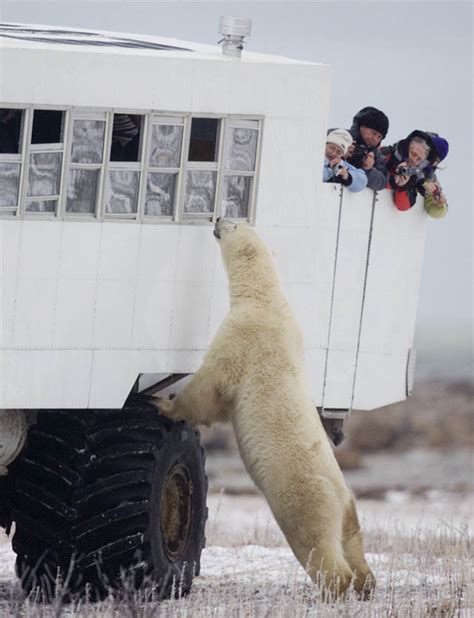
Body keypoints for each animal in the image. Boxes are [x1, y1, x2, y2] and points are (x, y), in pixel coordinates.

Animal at [152, 218, 374, 596]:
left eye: (233, 223)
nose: (217, 219)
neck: (267, 299)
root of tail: (339, 496)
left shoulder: (243, 336)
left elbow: (210, 385)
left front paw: (163, 403)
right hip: (349, 505)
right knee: (353, 539)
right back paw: (366, 582)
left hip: (304, 496)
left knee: (314, 541)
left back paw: (337, 585)